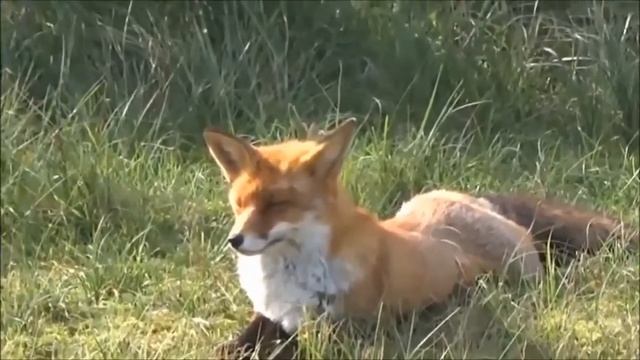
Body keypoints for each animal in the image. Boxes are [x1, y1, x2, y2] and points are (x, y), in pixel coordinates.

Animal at [204, 119, 636, 358]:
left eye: (277, 204)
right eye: (239, 204)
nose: (235, 240)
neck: (290, 278)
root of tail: (476, 201)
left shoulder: (344, 332)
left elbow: (287, 348)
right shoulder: (272, 315)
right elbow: (240, 342)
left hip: (518, 276)